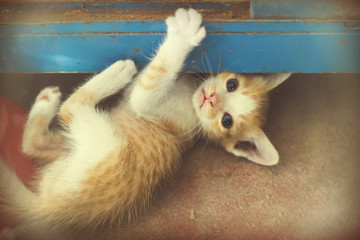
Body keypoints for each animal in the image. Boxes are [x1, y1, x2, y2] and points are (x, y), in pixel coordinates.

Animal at [0, 8, 290, 239]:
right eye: (232, 84)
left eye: (226, 121)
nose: (210, 98)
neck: (191, 95)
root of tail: (48, 209)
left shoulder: (148, 104)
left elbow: (150, 82)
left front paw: (181, 36)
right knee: (34, 145)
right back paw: (45, 101)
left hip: (111, 148)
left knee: (71, 108)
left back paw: (117, 73)